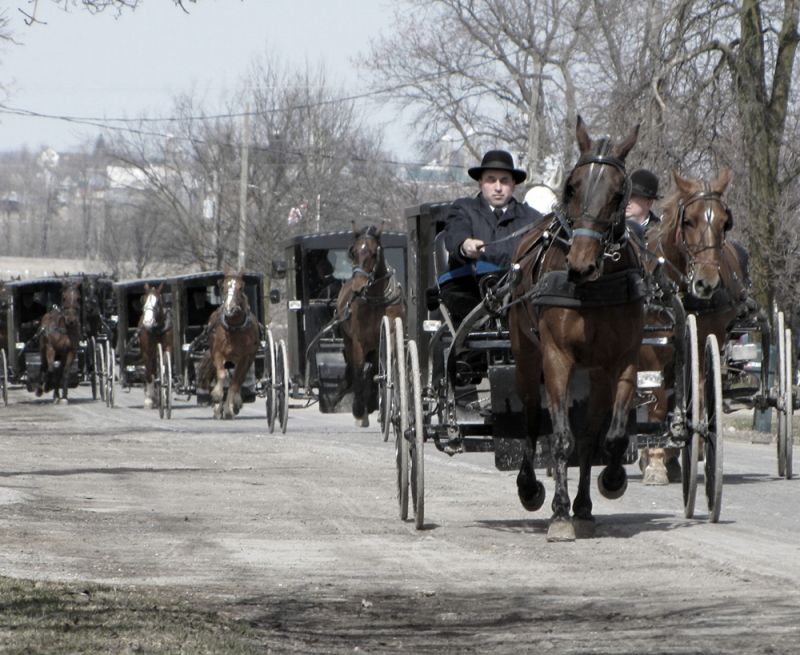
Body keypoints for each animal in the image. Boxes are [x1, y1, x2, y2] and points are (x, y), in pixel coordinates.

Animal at [195, 272, 258, 420]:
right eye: (223, 288)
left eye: (240, 288)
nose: (230, 309)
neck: (234, 329)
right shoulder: (218, 353)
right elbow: (222, 375)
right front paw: (217, 396)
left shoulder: (244, 358)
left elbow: (235, 382)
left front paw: (229, 408)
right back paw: (218, 408)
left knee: (239, 379)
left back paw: (234, 404)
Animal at [334, 226, 404, 428]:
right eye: (353, 252)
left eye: (374, 253)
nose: (358, 286)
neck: (375, 299)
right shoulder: (359, 342)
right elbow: (358, 371)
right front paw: (359, 410)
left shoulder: (387, 335)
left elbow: (380, 368)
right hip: (349, 341)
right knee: (355, 368)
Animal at [512, 116, 644, 544]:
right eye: (571, 187)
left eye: (619, 194)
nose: (581, 264)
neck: (592, 290)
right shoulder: (556, 357)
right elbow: (560, 437)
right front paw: (558, 512)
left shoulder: (623, 360)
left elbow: (609, 435)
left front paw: (610, 483)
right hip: (525, 355)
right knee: (530, 420)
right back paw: (530, 488)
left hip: (596, 373)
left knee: (589, 434)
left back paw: (583, 505)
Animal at [636, 169, 748, 486]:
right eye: (689, 220)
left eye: (725, 222)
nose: (706, 282)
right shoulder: (652, 349)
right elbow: (656, 401)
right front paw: (655, 462)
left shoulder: (700, 342)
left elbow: (694, 392)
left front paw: (685, 447)